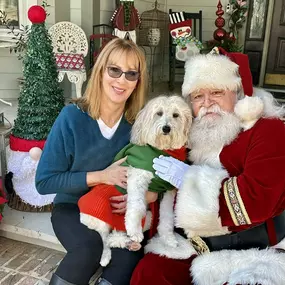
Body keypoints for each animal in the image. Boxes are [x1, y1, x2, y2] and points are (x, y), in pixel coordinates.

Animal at [77, 94, 191, 266]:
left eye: (176, 115)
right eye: (159, 113)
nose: (166, 128)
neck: (162, 150)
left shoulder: (167, 190)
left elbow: (167, 217)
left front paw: (169, 239)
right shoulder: (137, 176)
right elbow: (136, 206)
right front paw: (134, 229)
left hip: (148, 217)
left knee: (114, 236)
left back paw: (129, 242)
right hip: (98, 217)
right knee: (105, 238)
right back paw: (107, 255)